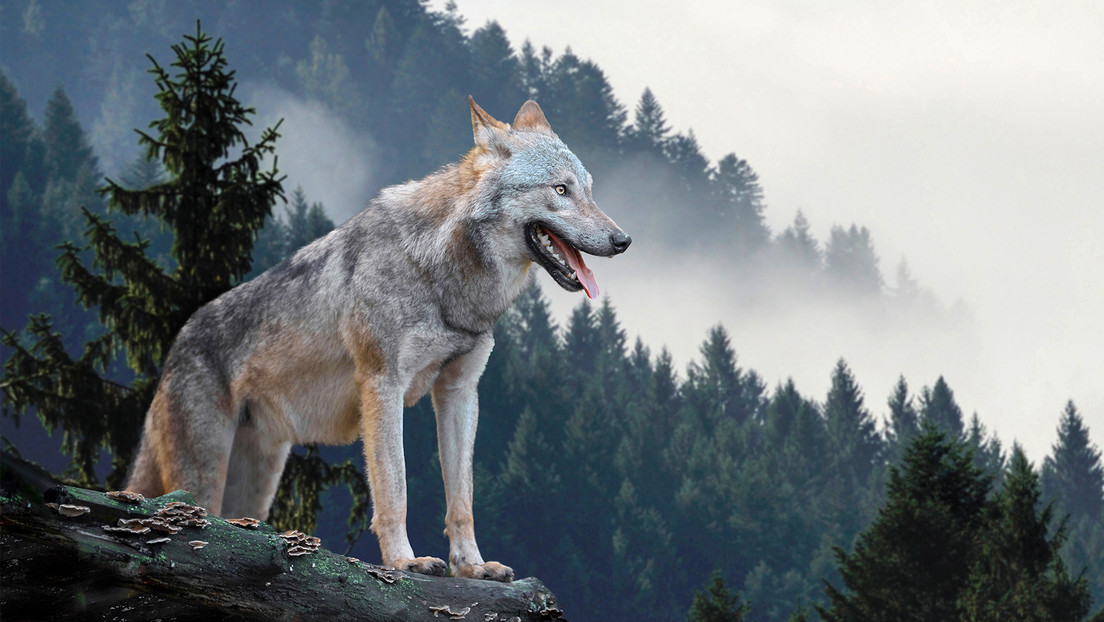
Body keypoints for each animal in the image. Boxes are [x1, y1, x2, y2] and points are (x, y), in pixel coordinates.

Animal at [124, 95, 631, 583]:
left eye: (589, 190)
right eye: (560, 190)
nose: (623, 240)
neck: (441, 275)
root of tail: (175, 346)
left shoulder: (460, 392)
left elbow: (461, 499)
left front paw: (472, 567)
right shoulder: (383, 385)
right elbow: (395, 488)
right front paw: (405, 562)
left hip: (255, 487)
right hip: (204, 478)